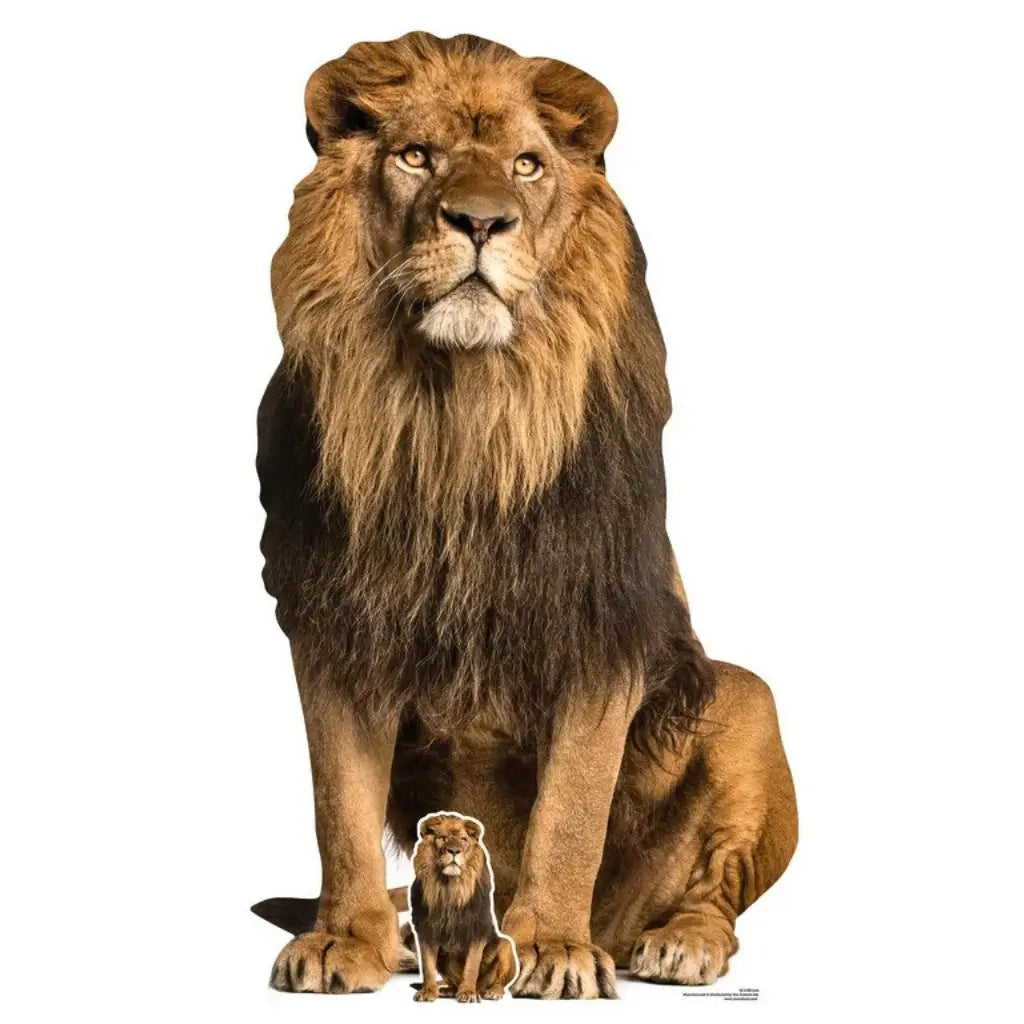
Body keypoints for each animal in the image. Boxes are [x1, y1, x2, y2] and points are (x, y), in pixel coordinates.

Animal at [408, 813, 518, 1002]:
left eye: (464, 840)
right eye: (442, 838)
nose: (454, 851)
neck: (449, 888)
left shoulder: (477, 930)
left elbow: (471, 965)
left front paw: (467, 993)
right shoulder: (426, 930)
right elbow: (427, 966)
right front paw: (428, 992)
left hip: (506, 945)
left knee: (500, 983)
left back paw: (491, 992)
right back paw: (448, 990)